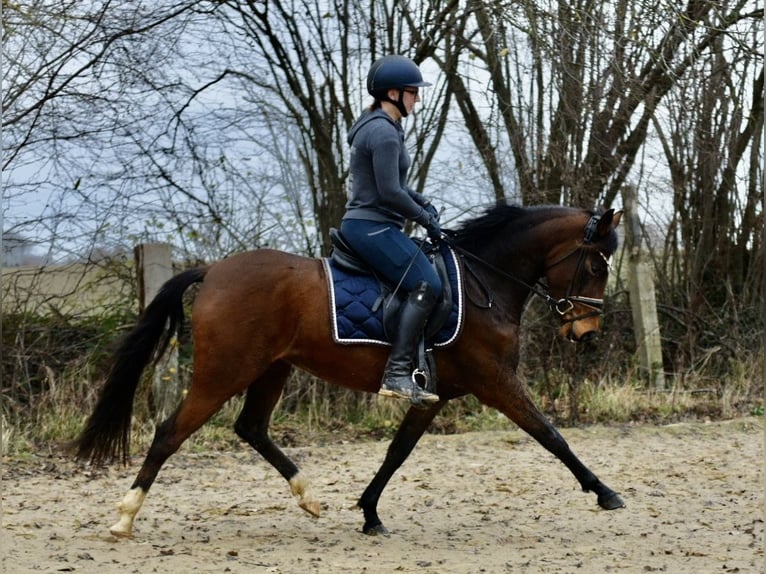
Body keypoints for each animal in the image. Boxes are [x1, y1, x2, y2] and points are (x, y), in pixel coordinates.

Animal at [78, 206, 628, 540]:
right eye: (596, 265)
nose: (586, 333)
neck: (483, 283)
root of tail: (214, 271)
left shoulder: (436, 395)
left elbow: (397, 453)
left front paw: (369, 512)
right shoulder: (494, 382)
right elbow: (550, 434)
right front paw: (605, 492)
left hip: (271, 370)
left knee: (251, 428)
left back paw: (309, 498)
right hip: (223, 372)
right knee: (170, 432)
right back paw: (125, 517)